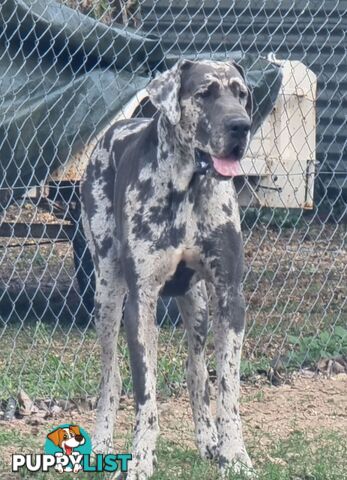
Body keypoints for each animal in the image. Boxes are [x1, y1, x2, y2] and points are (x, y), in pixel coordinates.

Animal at [82, 58, 256, 478]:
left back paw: (208, 440)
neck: (188, 185)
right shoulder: (140, 302)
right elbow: (145, 395)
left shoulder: (229, 296)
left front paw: (233, 454)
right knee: (109, 377)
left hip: (198, 303)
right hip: (107, 294)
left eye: (241, 93)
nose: (241, 125)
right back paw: (102, 442)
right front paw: (140, 459)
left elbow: (227, 387)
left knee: (197, 371)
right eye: (205, 93)